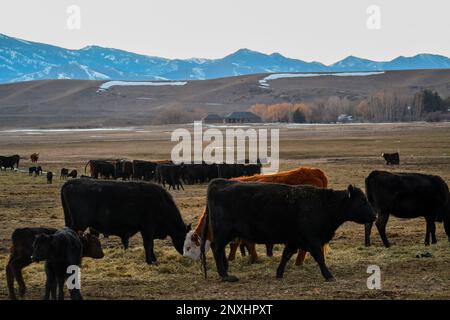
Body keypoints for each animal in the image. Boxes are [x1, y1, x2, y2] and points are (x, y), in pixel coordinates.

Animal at [60, 179, 190, 264]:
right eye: (185, 239)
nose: (187, 256)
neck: (161, 203)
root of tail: (71, 182)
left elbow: (151, 245)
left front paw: (153, 259)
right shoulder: (147, 229)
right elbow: (148, 244)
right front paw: (150, 261)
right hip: (79, 224)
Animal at [185, 166, 328, 264]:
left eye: (188, 247)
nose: (191, 261)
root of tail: (313, 171)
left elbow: (247, 243)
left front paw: (253, 259)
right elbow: (236, 244)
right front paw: (232, 259)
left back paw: (298, 263)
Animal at [201, 179, 376, 282]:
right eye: (362, 201)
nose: (374, 215)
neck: (324, 204)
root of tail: (220, 183)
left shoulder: (294, 240)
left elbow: (286, 255)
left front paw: (279, 273)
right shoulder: (312, 240)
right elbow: (319, 257)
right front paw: (329, 275)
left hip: (228, 233)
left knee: (220, 250)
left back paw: (225, 272)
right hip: (223, 232)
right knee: (216, 249)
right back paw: (225, 275)